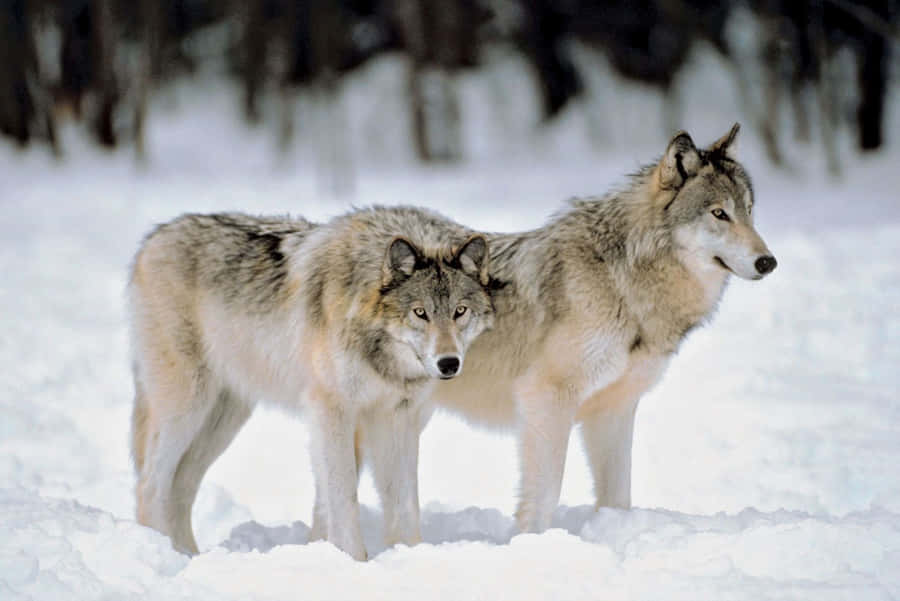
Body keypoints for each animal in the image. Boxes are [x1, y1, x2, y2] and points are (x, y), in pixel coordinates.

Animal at [129, 207, 494, 560]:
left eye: (460, 311)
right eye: (420, 313)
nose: (449, 363)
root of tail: (154, 238)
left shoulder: (397, 417)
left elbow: (404, 503)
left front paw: (411, 555)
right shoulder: (332, 410)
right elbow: (343, 496)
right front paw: (353, 560)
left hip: (224, 420)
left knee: (181, 486)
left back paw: (189, 556)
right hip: (187, 407)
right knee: (150, 485)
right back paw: (166, 553)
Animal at [433, 123, 777, 532]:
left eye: (750, 212)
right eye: (719, 214)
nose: (768, 262)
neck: (622, 281)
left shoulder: (614, 409)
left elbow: (618, 496)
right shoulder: (547, 397)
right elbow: (545, 494)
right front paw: (532, 541)